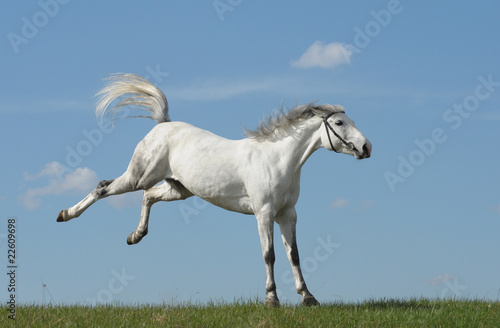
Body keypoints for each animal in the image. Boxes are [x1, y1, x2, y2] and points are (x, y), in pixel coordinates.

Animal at [58, 73, 372, 306]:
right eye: (339, 122)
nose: (367, 147)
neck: (278, 159)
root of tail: (163, 125)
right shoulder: (264, 213)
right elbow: (269, 254)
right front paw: (272, 299)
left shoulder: (288, 214)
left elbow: (293, 254)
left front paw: (308, 297)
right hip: (139, 176)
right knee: (104, 188)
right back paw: (66, 214)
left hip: (178, 189)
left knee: (148, 196)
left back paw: (135, 236)